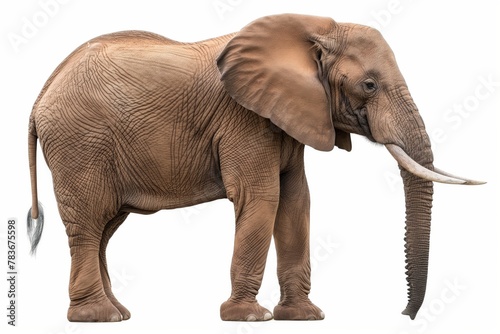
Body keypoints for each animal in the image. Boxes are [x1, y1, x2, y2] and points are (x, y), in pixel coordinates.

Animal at [25, 13, 482, 324]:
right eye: (369, 85)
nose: (405, 314)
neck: (313, 30)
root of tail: (40, 96)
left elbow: (297, 202)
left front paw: (305, 317)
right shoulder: (244, 118)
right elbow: (263, 198)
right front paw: (250, 317)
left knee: (105, 226)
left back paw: (120, 312)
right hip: (80, 144)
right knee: (90, 221)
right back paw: (98, 317)